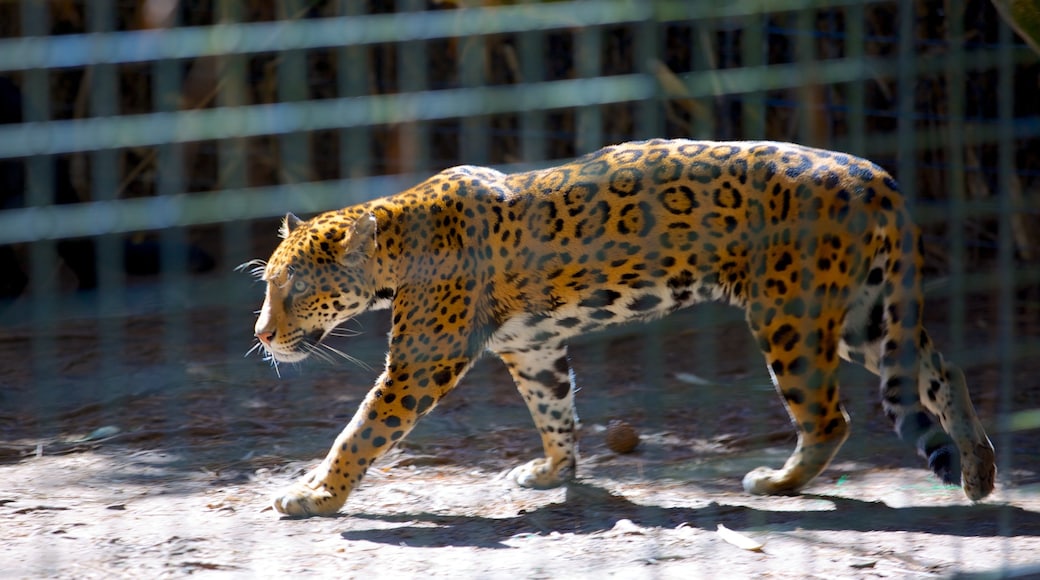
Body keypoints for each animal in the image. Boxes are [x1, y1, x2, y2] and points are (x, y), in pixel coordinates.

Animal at [247, 137, 994, 517]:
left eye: (295, 290)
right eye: (268, 287)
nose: (261, 334)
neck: (397, 247)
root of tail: (874, 173)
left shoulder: (420, 363)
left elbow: (359, 431)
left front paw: (314, 495)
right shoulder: (533, 346)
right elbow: (554, 411)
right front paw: (552, 473)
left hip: (793, 313)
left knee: (831, 417)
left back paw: (777, 484)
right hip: (865, 313)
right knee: (941, 369)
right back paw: (980, 471)